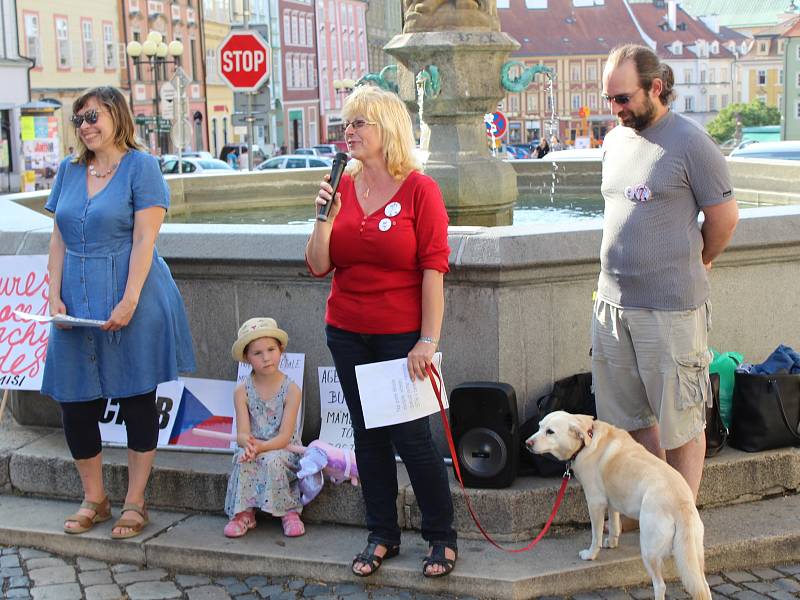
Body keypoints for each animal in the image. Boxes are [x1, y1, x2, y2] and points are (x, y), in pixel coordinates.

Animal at [528, 412, 708, 600]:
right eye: (539, 426)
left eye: (550, 432)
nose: (527, 443)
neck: (587, 439)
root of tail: (682, 503)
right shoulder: (612, 500)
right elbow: (614, 524)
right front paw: (612, 543)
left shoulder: (595, 502)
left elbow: (596, 535)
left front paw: (591, 554)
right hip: (693, 553)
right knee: (703, 585)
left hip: (650, 550)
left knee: (660, 586)